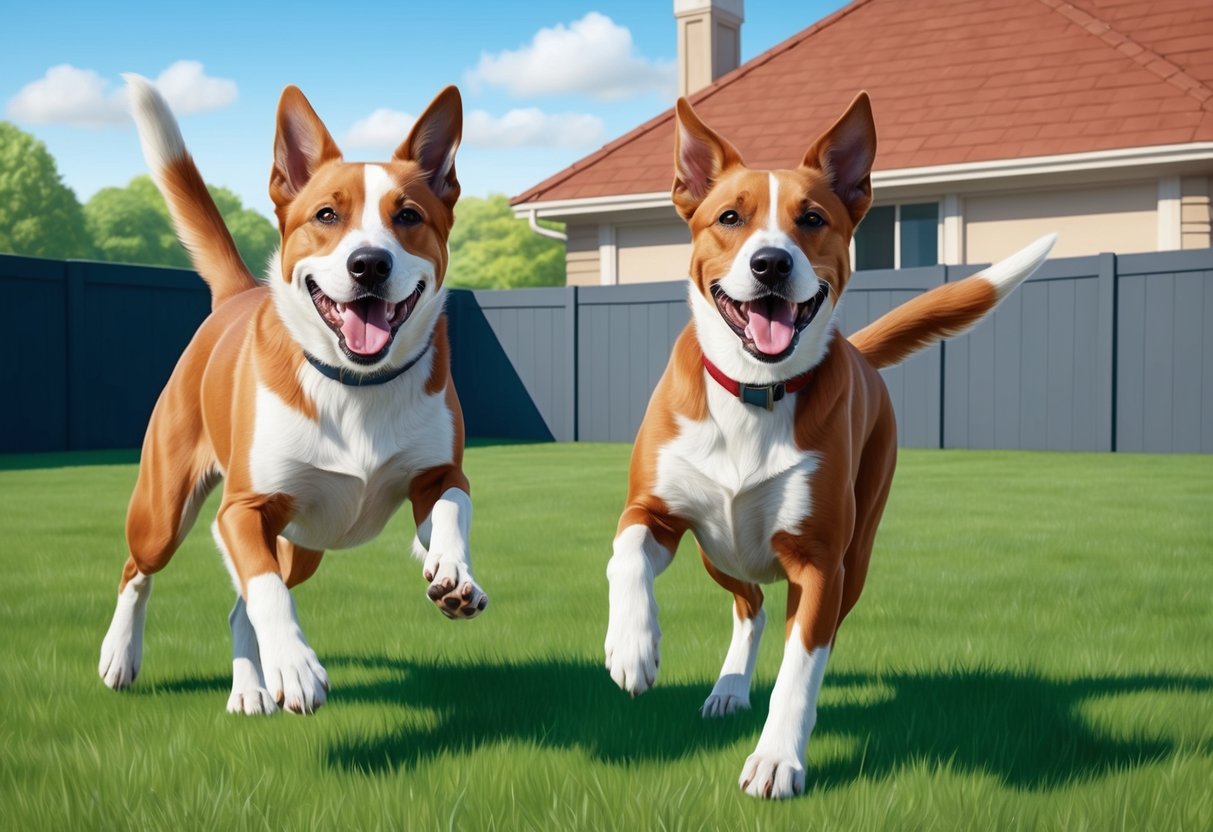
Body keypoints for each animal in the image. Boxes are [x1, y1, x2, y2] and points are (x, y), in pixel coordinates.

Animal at [98, 76, 487, 717]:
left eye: (407, 215)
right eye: (326, 214)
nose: (369, 263)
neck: (355, 386)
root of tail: (236, 294)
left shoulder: (436, 473)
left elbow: (453, 503)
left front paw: (453, 572)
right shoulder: (243, 509)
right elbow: (265, 588)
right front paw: (298, 669)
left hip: (305, 544)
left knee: (241, 608)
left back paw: (249, 688)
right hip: (164, 509)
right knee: (141, 568)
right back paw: (122, 655)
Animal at [604, 92, 1052, 800]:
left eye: (812, 219)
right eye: (729, 217)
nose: (771, 263)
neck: (757, 391)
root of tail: (860, 352)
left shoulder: (820, 565)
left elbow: (800, 667)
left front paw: (776, 760)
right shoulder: (656, 511)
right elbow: (625, 552)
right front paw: (632, 647)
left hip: (856, 554)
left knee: (802, 626)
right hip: (716, 549)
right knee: (750, 604)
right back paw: (729, 687)